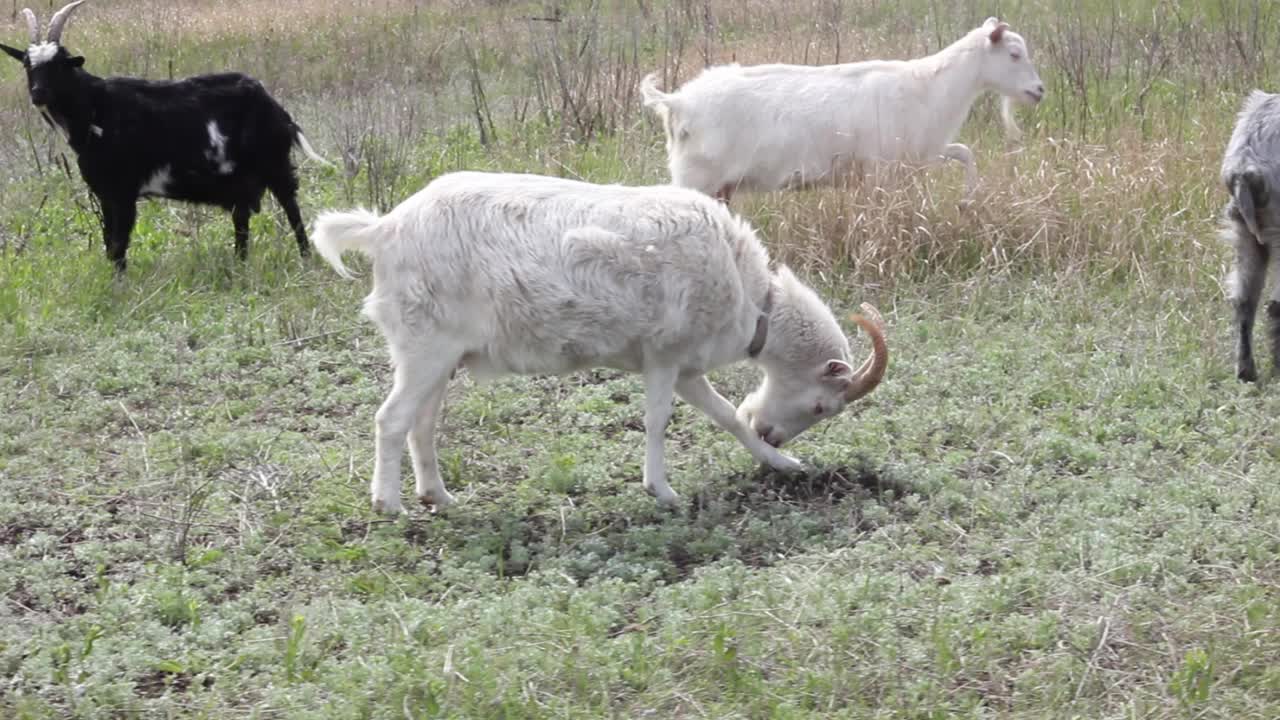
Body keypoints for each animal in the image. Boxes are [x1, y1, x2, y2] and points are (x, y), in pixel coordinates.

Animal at [1, 0, 330, 271]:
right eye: (27, 64)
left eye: (59, 64)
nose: (38, 93)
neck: (96, 108)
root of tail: (276, 108)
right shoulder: (105, 192)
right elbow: (109, 242)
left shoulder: (123, 190)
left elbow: (118, 243)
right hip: (242, 178)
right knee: (242, 220)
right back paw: (240, 264)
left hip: (275, 164)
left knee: (291, 209)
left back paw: (305, 258)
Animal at [314, 170, 885, 512]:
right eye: (819, 406)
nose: (775, 435)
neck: (752, 297)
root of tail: (383, 229)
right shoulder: (664, 354)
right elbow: (658, 421)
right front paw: (663, 492)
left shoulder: (687, 368)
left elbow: (725, 415)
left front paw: (783, 465)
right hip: (424, 345)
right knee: (391, 419)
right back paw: (388, 503)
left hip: (439, 355)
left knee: (422, 423)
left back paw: (439, 496)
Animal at [645, 17, 1044, 202]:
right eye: (1014, 54)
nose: (1039, 91)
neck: (928, 88)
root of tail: (677, 101)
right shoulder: (882, 169)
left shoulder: (919, 154)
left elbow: (965, 153)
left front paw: (967, 200)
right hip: (695, 178)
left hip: (720, 188)